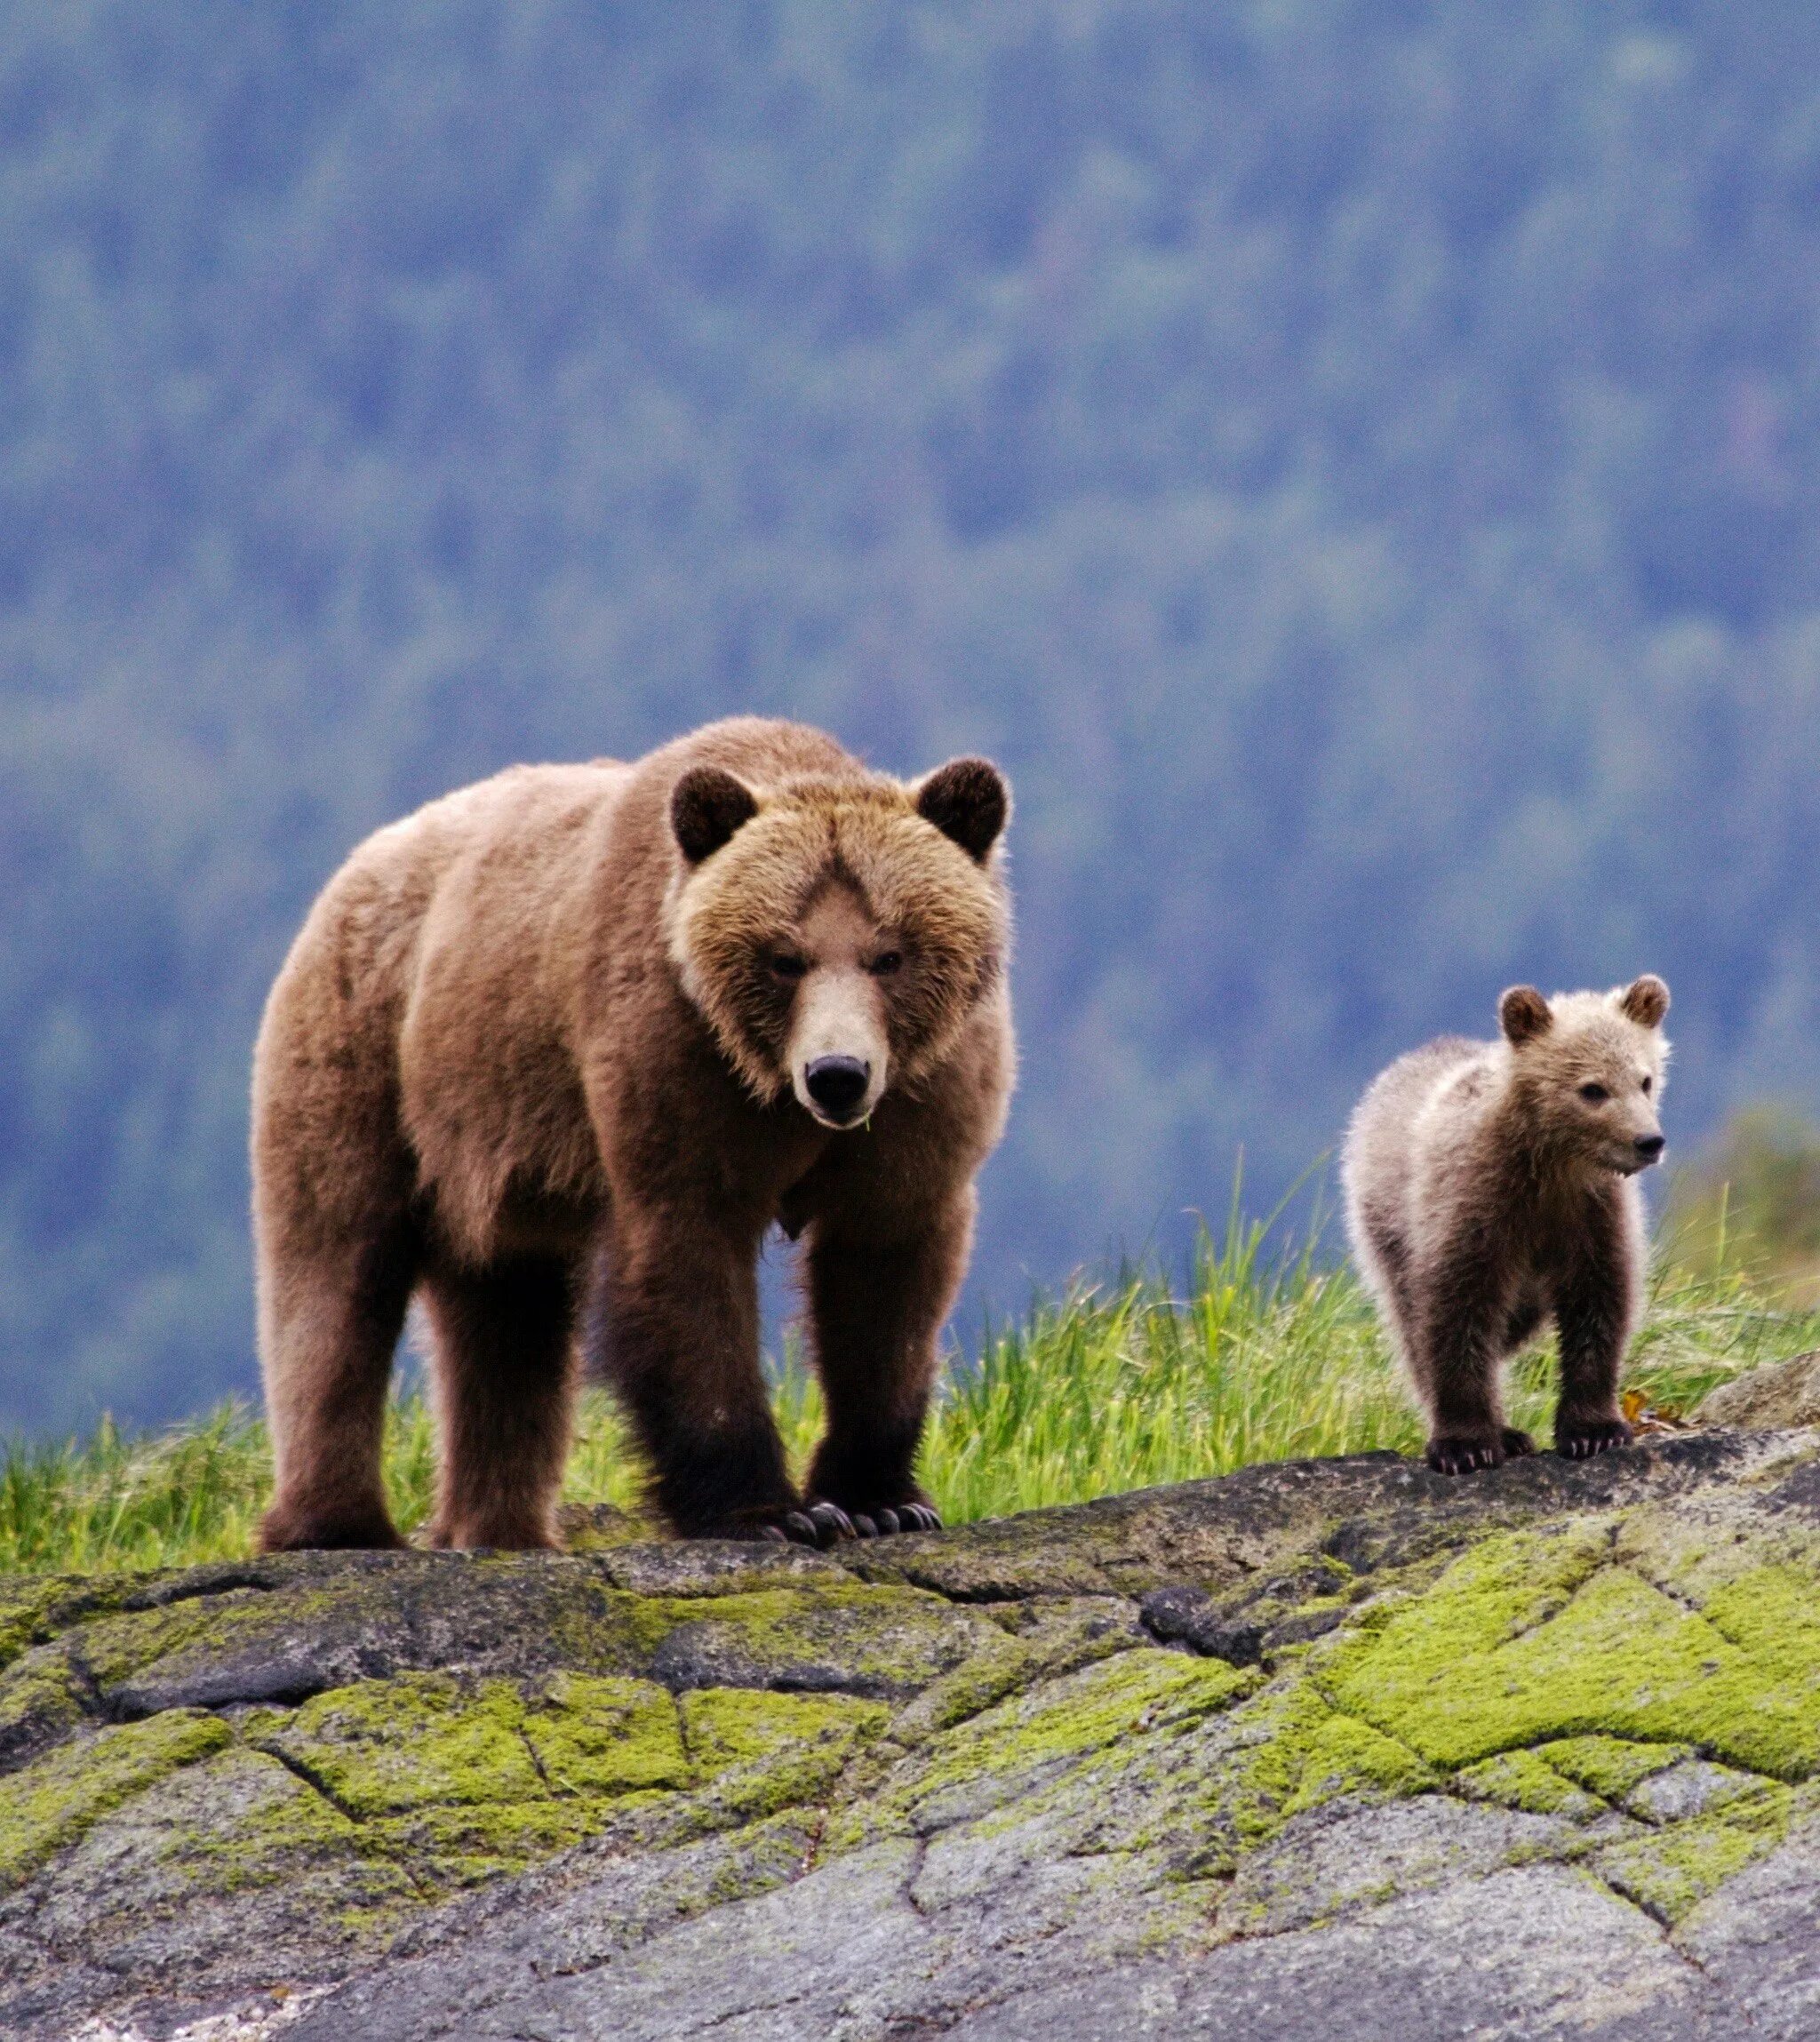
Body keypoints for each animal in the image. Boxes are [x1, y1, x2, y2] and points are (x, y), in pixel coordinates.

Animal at [254, 718, 1017, 1543]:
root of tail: (361, 864)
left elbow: (884, 1281)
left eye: (890, 954)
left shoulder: (920, 1104)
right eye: (784, 957)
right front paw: (769, 1514)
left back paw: (499, 1528)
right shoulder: (675, 1062)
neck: (767, 1081)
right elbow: (686, 1268)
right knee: (337, 1276)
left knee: (506, 1319)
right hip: (366, 1055)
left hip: (490, 1140)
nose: (837, 1073)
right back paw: (337, 1524)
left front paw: (882, 1502)